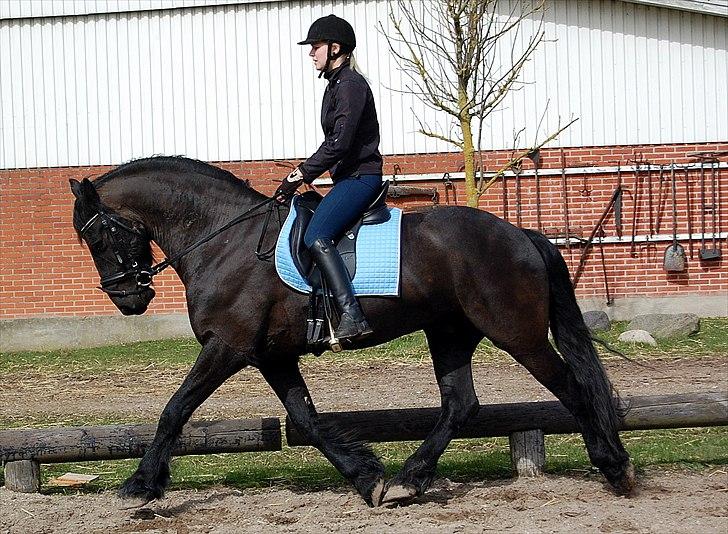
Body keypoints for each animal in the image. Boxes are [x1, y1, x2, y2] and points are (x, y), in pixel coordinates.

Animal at [71, 157, 636, 508]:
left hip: (517, 335)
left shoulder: (228, 346)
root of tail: (520, 234)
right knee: (461, 404)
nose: (127, 299)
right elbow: (306, 419)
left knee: (572, 389)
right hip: (449, 333)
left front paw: (142, 485)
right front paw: (367, 477)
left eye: (96, 235)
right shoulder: (271, 356)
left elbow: (175, 409)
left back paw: (615, 468)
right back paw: (409, 480)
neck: (225, 240)